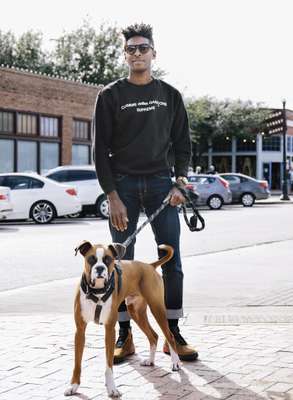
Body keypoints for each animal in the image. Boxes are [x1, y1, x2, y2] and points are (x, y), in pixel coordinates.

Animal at [64, 241, 179, 396]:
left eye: (108, 259)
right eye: (91, 259)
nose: (100, 268)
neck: (97, 292)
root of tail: (149, 265)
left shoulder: (109, 330)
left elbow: (109, 365)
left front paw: (112, 388)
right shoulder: (80, 331)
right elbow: (77, 363)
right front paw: (73, 386)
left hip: (157, 309)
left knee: (170, 336)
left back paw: (175, 363)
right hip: (136, 312)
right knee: (153, 336)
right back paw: (150, 360)